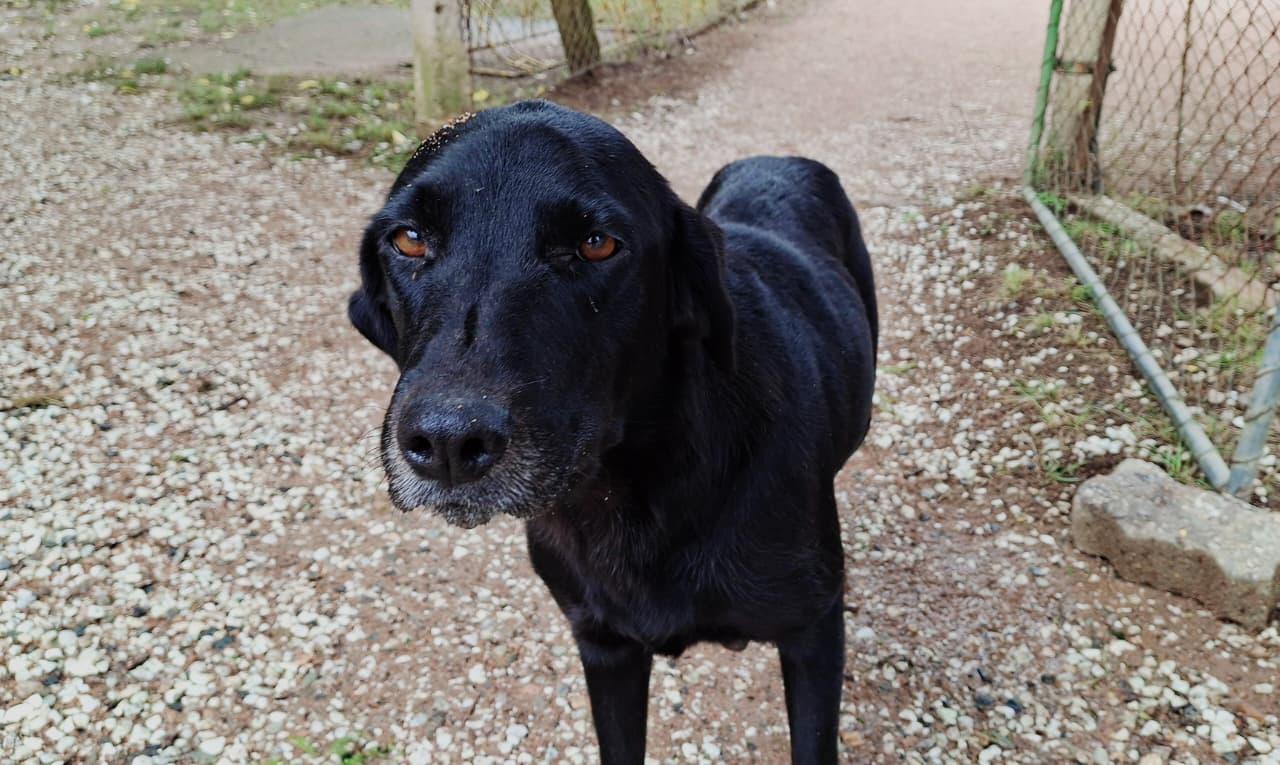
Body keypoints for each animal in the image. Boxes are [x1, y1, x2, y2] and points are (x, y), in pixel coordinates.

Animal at [348, 100, 877, 765]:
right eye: (409, 239)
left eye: (596, 244)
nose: (448, 443)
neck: (635, 496)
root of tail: (779, 158)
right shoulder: (604, 648)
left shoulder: (812, 634)